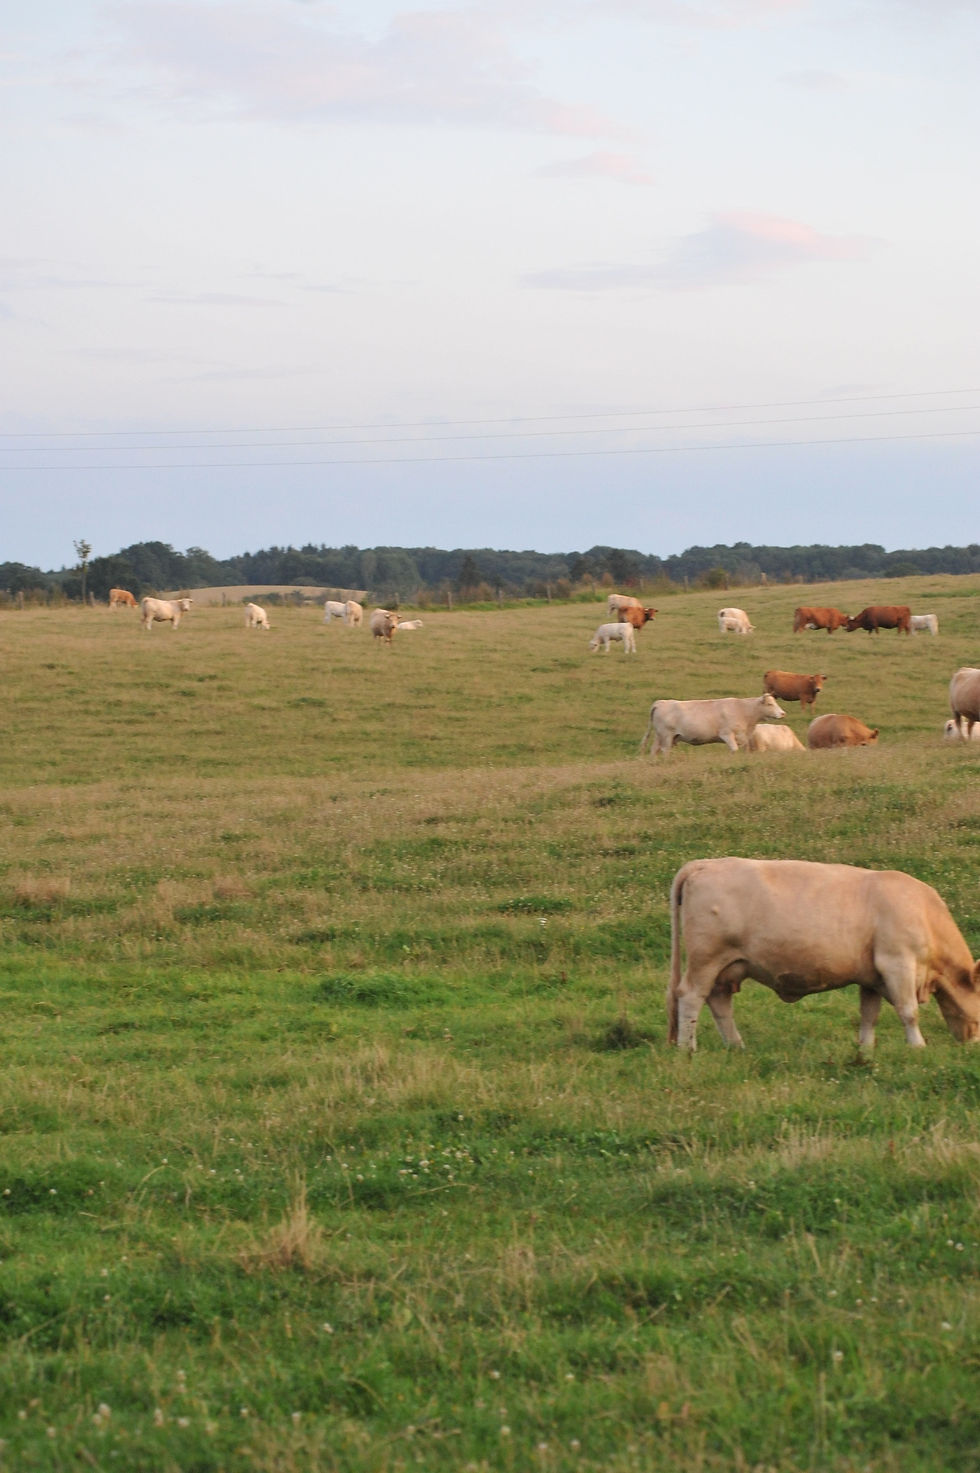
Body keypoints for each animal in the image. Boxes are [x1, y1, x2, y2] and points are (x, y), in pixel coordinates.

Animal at [639, 692, 784, 756]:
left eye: (775, 702)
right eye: (770, 704)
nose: (783, 713)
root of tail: (661, 702)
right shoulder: (727, 734)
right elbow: (734, 750)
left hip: (660, 736)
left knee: (654, 749)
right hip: (666, 736)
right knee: (665, 750)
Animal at [667, 857, 980, 1051]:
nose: (974, 1046)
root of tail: (705, 863)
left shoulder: (871, 977)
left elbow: (870, 1015)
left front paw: (866, 1050)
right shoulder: (897, 963)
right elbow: (909, 1011)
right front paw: (917, 1047)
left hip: (728, 966)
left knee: (719, 1001)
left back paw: (736, 1046)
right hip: (706, 958)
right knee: (691, 996)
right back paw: (687, 1049)